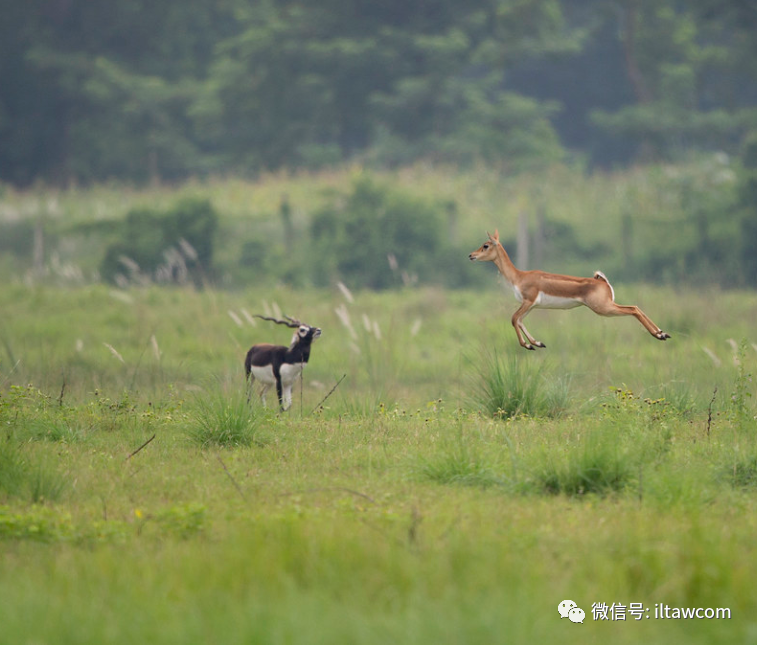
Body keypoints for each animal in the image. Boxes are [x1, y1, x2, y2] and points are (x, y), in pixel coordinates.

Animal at [470, 229, 672, 350]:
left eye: (486, 245)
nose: (471, 255)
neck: (519, 277)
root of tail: (602, 281)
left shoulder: (529, 301)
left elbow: (513, 319)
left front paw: (528, 345)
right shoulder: (531, 306)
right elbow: (519, 321)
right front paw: (537, 343)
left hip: (605, 308)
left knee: (633, 308)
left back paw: (660, 335)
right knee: (636, 308)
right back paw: (662, 333)